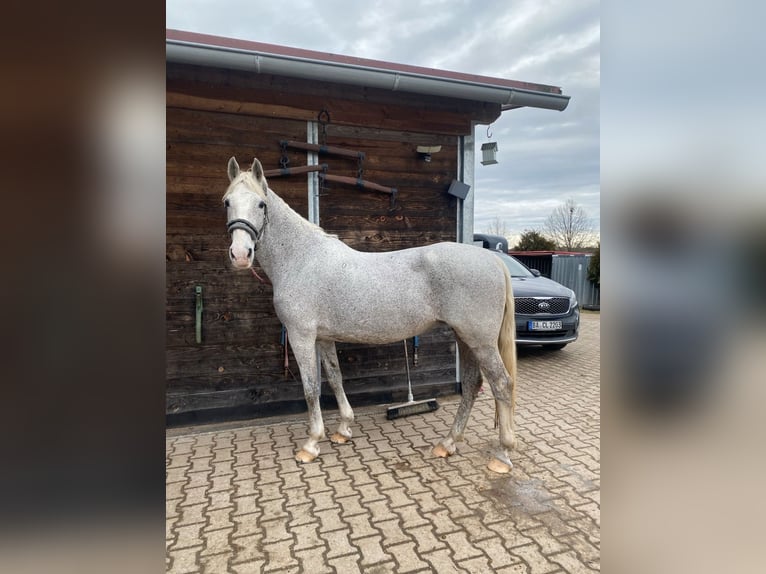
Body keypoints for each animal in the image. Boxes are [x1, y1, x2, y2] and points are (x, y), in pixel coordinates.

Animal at [225, 156, 520, 472]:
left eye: (261, 204)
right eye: (227, 202)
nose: (241, 255)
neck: (301, 259)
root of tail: (492, 259)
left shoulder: (301, 336)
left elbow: (311, 387)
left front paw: (311, 444)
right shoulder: (324, 338)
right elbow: (335, 378)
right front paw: (343, 429)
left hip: (481, 342)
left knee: (501, 384)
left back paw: (503, 454)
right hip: (465, 338)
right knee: (472, 384)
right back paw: (448, 443)